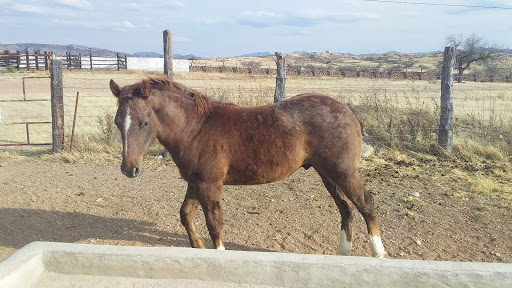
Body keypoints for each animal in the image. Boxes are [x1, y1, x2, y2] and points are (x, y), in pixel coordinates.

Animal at [110, 76, 386, 256]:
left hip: (343, 171)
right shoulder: (195, 182)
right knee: (346, 209)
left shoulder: (210, 184)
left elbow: (215, 224)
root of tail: (347, 109)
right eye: (117, 122)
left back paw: (378, 253)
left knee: (366, 203)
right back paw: (343, 253)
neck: (195, 128)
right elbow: (185, 214)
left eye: (144, 123)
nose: (129, 169)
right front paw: (198, 248)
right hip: (327, 173)